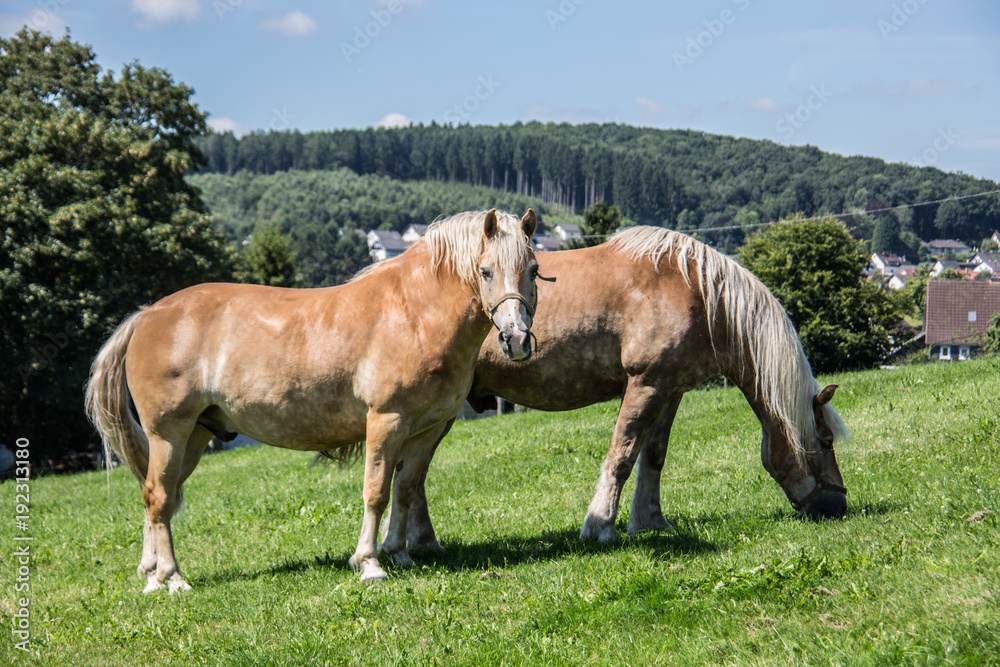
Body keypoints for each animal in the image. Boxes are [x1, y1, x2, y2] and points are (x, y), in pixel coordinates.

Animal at [86, 209, 540, 588]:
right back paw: (172, 577)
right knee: (159, 497)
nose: (516, 339)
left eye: (533, 270)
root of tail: (145, 316)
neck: (414, 312)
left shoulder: (423, 432)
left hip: (194, 436)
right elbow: (376, 491)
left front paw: (399, 554)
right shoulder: (386, 421)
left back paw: (150, 573)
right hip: (169, 433)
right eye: (485, 271)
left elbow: (406, 491)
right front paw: (369, 564)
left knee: (158, 495)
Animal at [386, 226, 848, 552]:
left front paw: (650, 521)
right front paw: (600, 525)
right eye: (825, 442)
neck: (696, 291)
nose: (837, 507)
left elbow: (653, 457)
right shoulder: (645, 384)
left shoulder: (669, 388)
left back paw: (424, 542)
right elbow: (622, 455)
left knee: (414, 473)